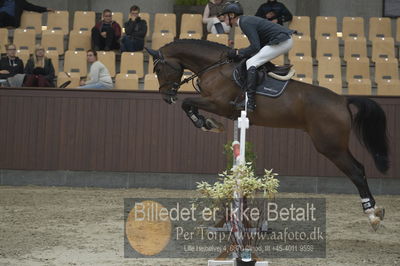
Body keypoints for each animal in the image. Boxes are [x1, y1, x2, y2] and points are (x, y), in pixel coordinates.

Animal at [145, 39, 390, 231]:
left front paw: (207, 124)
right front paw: (209, 123)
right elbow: (188, 104)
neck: (214, 66)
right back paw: (376, 211)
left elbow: (187, 103)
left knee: (356, 171)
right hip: (334, 145)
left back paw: (372, 214)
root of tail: (342, 100)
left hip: (330, 146)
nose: (166, 97)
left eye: (158, 70)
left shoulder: (218, 103)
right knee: (360, 169)